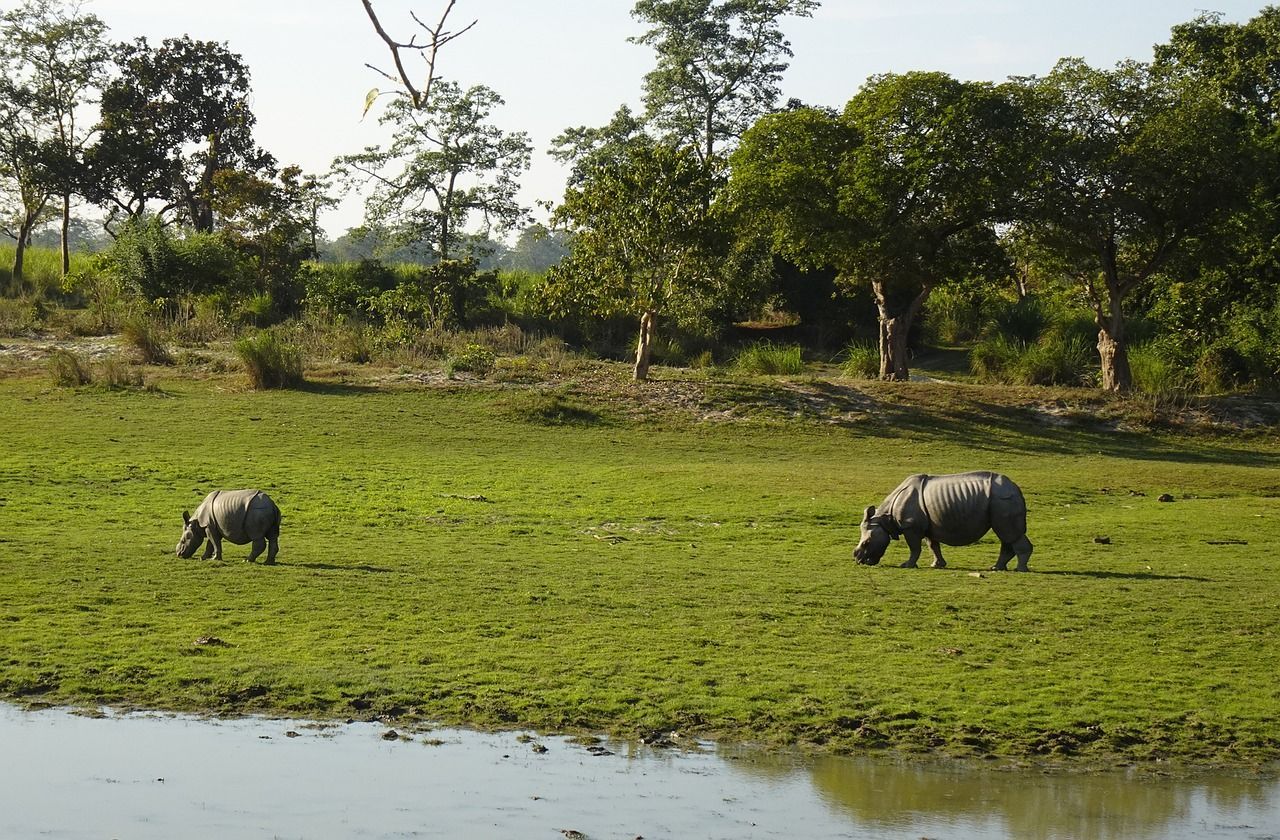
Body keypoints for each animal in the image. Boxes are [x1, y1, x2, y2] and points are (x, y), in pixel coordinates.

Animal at [853, 471, 1032, 571]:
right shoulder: (927, 526)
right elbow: (933, 545)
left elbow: (914, 547)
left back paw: (1020, 569)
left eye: (867, 543)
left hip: (1002, 499)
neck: (883, 519)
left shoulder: (911, 526)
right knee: (1006, 535)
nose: (859, 560)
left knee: (1009, 533)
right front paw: (937, 565)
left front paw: (907, 565)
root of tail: (1016, 488)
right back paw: (996, 568)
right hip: (1000, 500)